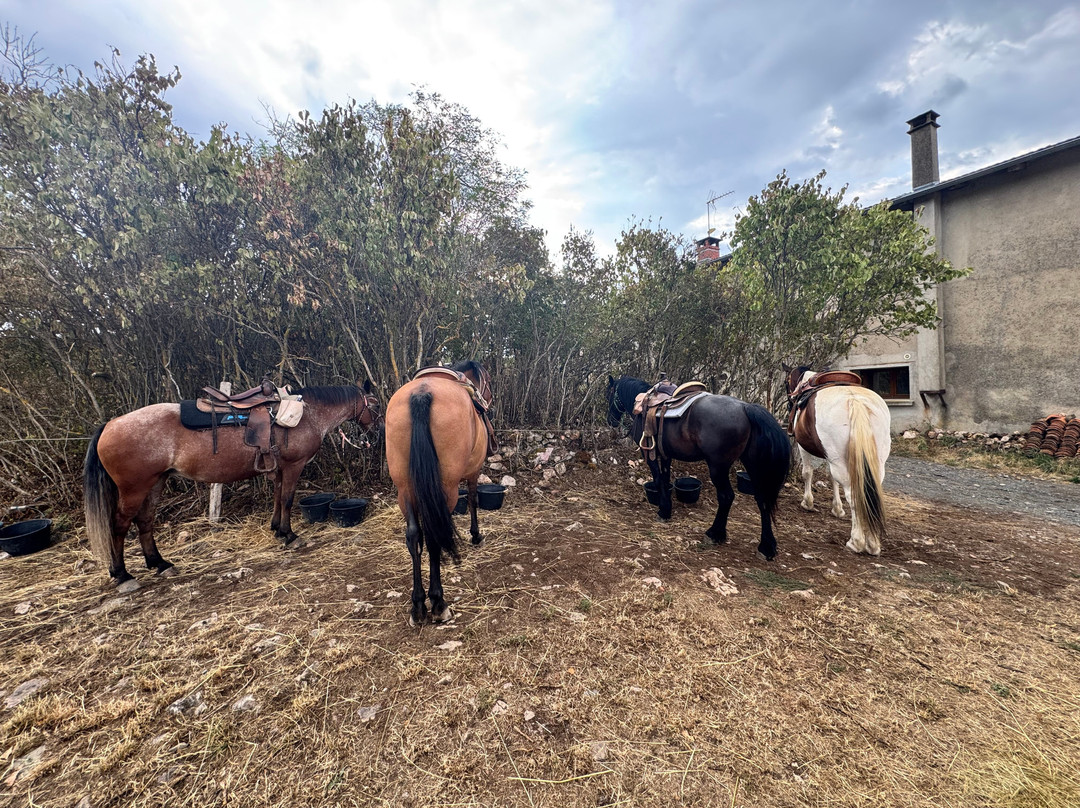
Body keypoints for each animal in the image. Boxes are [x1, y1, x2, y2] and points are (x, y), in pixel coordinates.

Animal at [84, 382, 382, 586]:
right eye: (376, 403)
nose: (377, 430)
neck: (307, 415)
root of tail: (110, 425)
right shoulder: (293, 466)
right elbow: (287, 499)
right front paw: (290, 535)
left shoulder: (278, 469)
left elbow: (277, 497)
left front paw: (277, 530)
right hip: (134, 488)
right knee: (120, 525)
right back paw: (122, 574)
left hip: (155, 483)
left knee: (145, 521)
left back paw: (160, 563)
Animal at [384, 360, 494, 626]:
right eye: (489, 383)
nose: (490, 400)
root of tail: (421, 394)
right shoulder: (474, 471)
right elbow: (473, 499)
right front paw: (476, 535)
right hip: (446, 487)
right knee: (433, 534)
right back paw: (438, 602)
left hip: (405, 489)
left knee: (414, 536)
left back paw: (417, 605)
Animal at [606, 374, 791, 560]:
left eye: (609, 394)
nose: (611, 421)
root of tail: (746, 407)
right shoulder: (666, 455)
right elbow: (665, 480)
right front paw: (666, 508)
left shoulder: (650, 453)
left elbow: (658, 480)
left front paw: (663, 511)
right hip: (752, 466)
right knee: (762, 500)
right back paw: (766, 547)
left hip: (718, 467)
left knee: (726, 497)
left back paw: (714, 533)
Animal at [783, 365, 890, 555]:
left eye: (785, 382)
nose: (790, 400)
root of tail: (855, 400)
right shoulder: (830, 456)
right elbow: (832, 480)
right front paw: (837, 508)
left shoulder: (804, 447)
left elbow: (807, 473)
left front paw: (807, 502)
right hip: (875, 463)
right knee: (869, 493)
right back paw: (873, 543)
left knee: (853, 496)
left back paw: (856, 542)